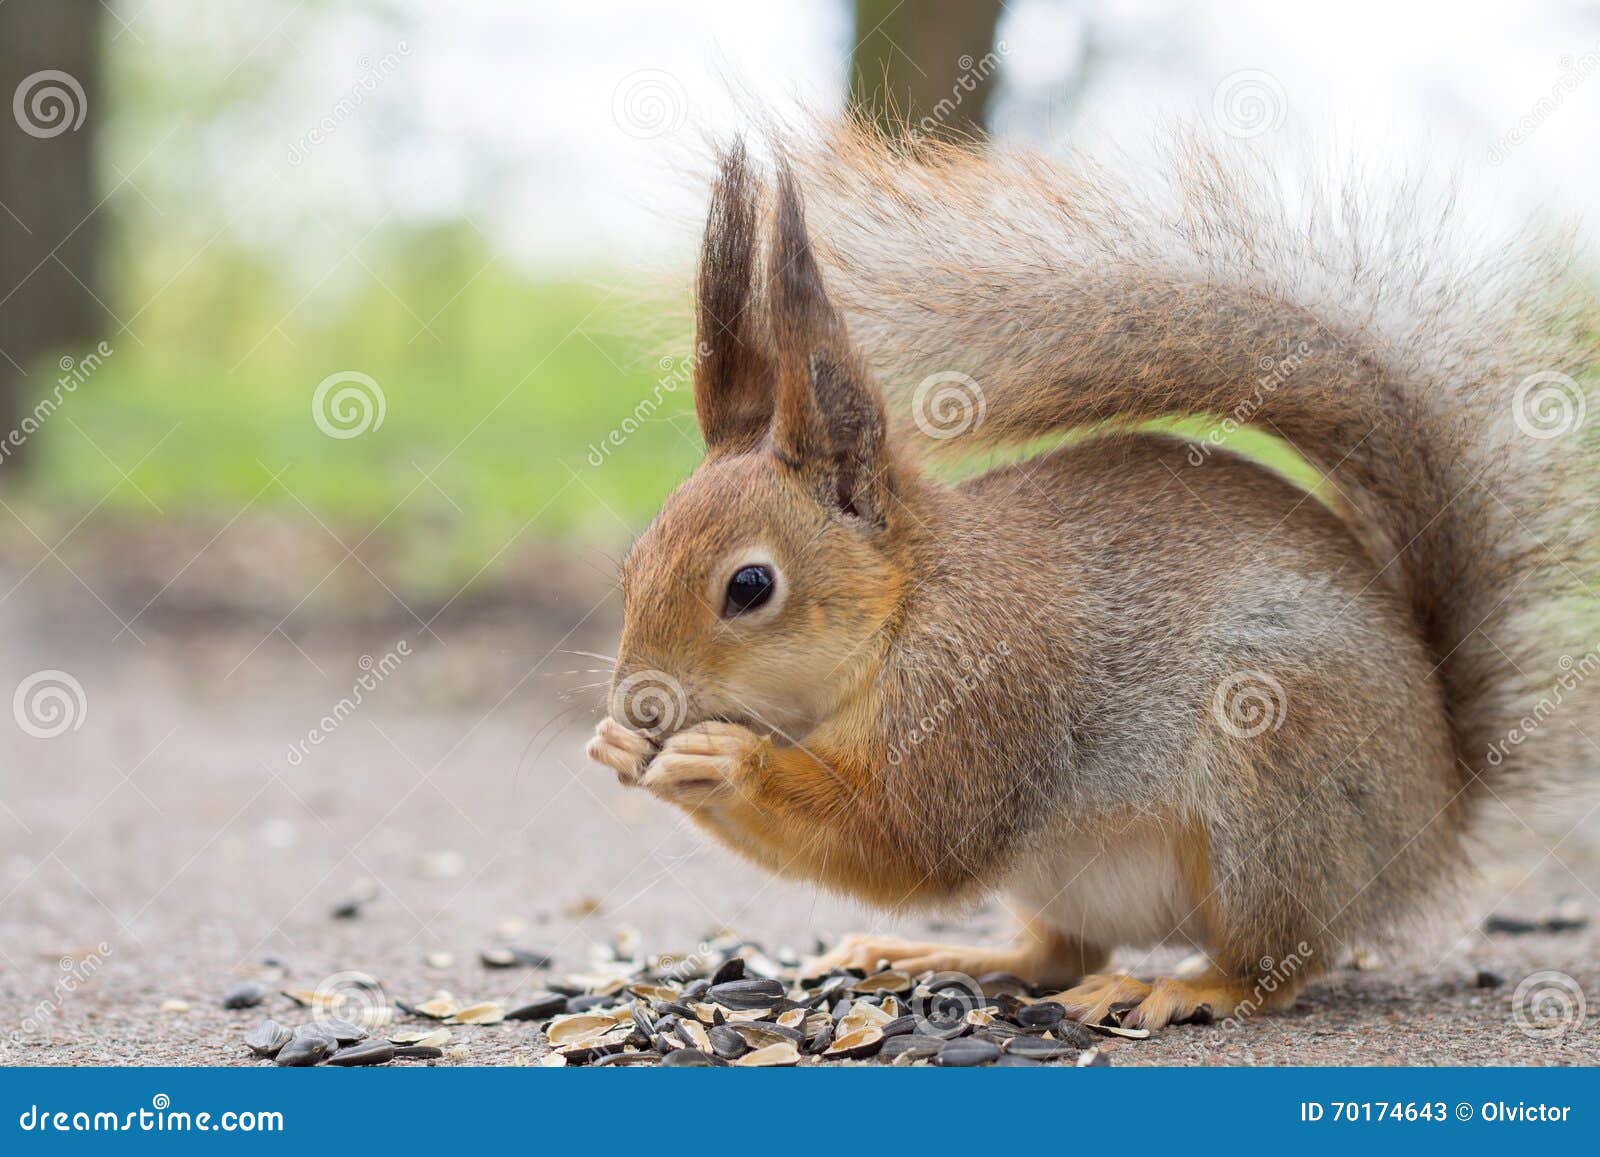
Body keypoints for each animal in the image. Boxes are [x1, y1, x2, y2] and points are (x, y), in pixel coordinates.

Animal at [585, 126, 1597, 1029]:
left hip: (1276, 783)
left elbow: (908, 835)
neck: (908, 607)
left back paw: (1184, 985)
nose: (640, 701)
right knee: (1058, 953)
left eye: (750, 587)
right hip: (1079, 876)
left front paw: (721, 758)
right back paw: (948, 954)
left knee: (1278, 961)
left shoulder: (984, 694)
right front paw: (616, 745)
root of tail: (1440, 802)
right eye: (631, 565)